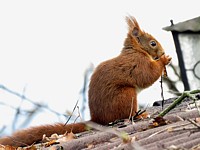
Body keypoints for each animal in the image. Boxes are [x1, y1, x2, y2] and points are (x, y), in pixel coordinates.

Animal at [0, 16, 172, 146]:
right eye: (153, 43)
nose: (163, 51)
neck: (136, 50)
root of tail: (97, 119)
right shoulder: (137, 63)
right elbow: (146, 76)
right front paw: (164, 60)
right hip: (126, 95)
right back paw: (139, 116)